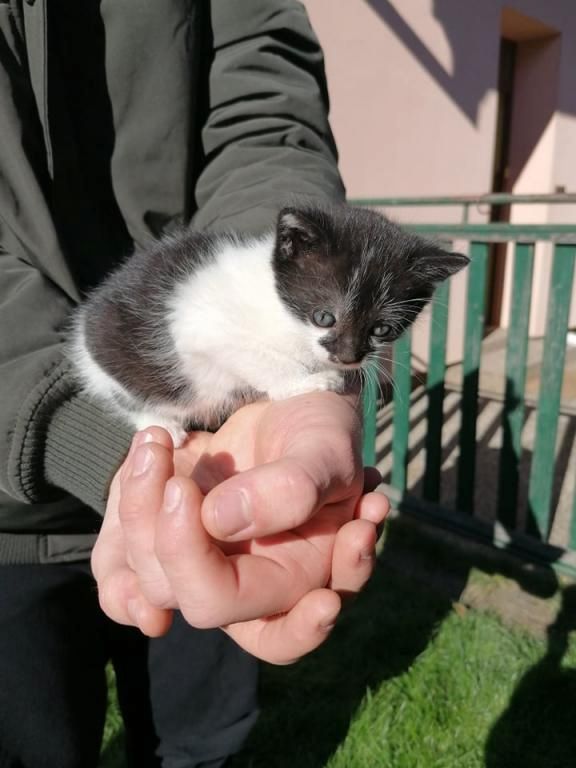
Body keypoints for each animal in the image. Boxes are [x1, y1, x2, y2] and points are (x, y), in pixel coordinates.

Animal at [70, 203, 469, 446]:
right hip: (112, 358)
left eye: (381, 330)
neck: (281, 309)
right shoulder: (199, 326)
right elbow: (255, 355)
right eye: (324, 317)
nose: (347, 357)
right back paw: (160, 423)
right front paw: (307, 382)